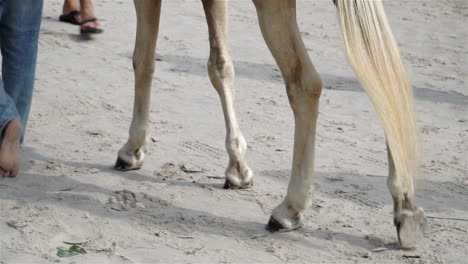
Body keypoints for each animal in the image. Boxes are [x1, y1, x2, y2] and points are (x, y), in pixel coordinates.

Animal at [114, 0, 428, 250]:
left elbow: (143, 58)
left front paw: (133, 148)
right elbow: (220, 63)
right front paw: (237, 167)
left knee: (304, 83)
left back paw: (289, 208)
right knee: (384, 76)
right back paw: (406, 207)